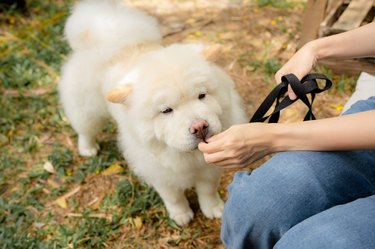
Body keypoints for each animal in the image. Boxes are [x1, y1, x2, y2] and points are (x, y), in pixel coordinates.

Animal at [58, 0, 248, 226]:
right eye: (166, 111)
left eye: (202, 95)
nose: (200, 126)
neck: (189, 156)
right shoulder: (160, 173)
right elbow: (173, 197)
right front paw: (181, 215)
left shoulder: (208, 169)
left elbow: (207, 190)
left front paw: (214, 209)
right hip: (87, 109)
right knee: (85, 129)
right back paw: (88, 148)